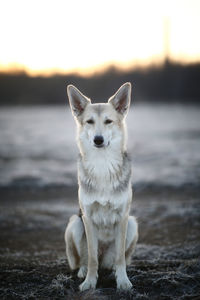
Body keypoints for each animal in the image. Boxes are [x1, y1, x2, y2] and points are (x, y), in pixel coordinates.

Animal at [65, 82, 138, 290]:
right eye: (89, 121)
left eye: (108, 121)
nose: (98, 139)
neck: (102, 164)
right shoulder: (87, 218)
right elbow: (91, 257)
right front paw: (90, 282)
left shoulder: (123, 217)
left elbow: (120, 258)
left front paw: (123, 281)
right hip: (74, 223)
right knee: (84, 259)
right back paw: (82, 271)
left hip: (132, 224)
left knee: (115, 260)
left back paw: (112, 269)